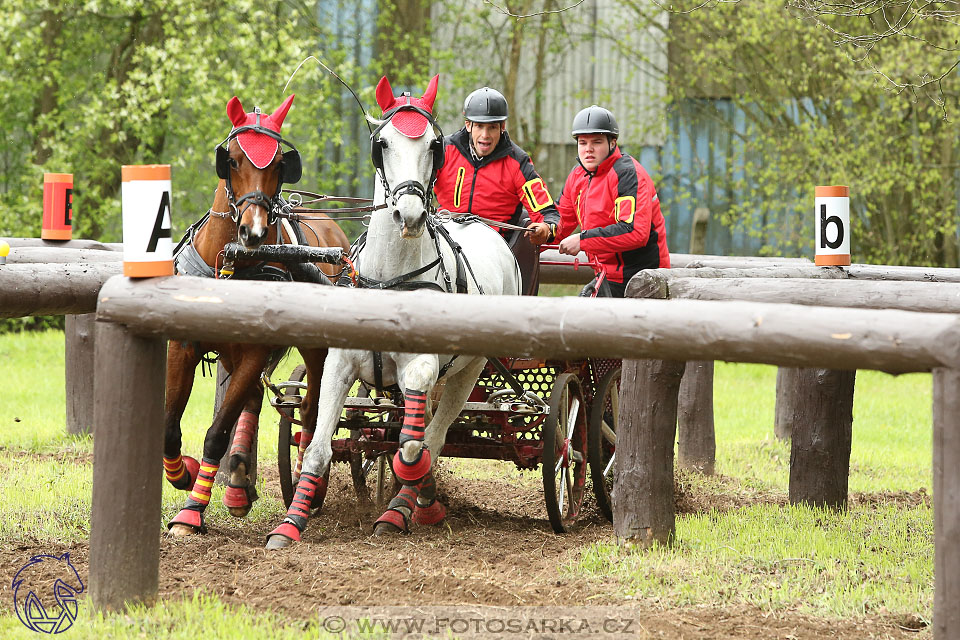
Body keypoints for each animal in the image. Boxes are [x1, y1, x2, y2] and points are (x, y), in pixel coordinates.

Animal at [166, 95, 352, 536]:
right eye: (232, 160)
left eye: (279, 165)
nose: (252, 231)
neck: (232, 262)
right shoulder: (183, 346)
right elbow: (168, 428)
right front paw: (184, 474)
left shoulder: (255, 351)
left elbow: (216, 432)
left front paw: (191, 510)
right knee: (252, 398)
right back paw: (237, 485)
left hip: (313, 352)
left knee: (309, 409)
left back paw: (304, 481)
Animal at [266, 74, 520, 544]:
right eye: (382, 143)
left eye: (434, 146)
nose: (411, 214)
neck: (389, 278)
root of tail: (482, 226)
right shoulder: (340, 365)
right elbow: (318, 448)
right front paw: (291, 523)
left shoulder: (421, 367)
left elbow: (412, 446)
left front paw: (408, 500)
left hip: (469, 370)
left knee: (431, 437)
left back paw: (407, 506)